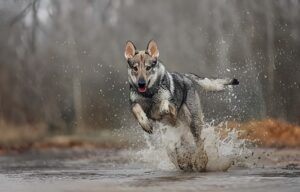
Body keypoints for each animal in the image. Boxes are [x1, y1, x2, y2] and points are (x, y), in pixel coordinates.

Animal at [124, 39, 239, 171]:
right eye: (135, 68)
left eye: (148, 68)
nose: (141, 83)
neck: (149, 95)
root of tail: (185, 75)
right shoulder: (134, 104)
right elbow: (137, 109)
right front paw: (145, 124)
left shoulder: (172, 109)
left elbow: (165, 102)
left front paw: (162, 108)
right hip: (177, 127)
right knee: (181, 146)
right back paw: (185, 161)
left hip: (192, 121)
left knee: (199, 142)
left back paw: (200, 162)